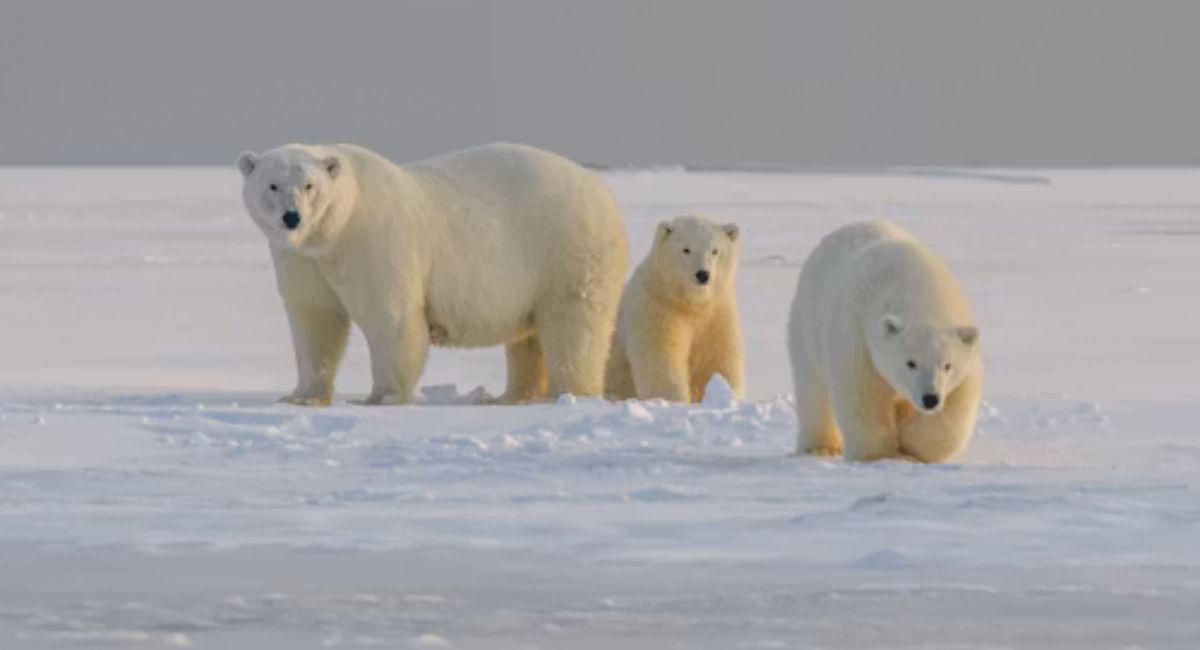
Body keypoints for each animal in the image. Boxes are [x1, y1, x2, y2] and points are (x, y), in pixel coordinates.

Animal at [236, 142, 629, 406]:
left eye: (309, 186)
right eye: (272, 185)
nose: (292, 217)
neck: (334, 231)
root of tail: (602, 190)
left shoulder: (375, 241)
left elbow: (392, 318)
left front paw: (382, 397)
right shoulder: (302, 260)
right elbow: (315, 320)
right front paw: (302, 397)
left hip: (567, 251)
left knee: (573, 326)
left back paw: (569, 394)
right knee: (527, 338)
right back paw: (509, 396)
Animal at [605, 214, 744, 402]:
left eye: (715, 251)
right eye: (686, 249)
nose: (703, 274)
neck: (690, 303)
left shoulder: (716, 313)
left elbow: (717, 359)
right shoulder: (657, 309)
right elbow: (662, 359)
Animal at [787, 220, 982, 462]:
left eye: (948, 365)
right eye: (910, 362)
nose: (930, 399)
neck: (918, 290)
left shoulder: (966, 359)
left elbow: (956, 408)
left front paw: (910, 443)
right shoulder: (858, 340)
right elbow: (863, 397)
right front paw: (878, 454)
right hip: (806, 327)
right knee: (813, 392)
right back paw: (820, 447)